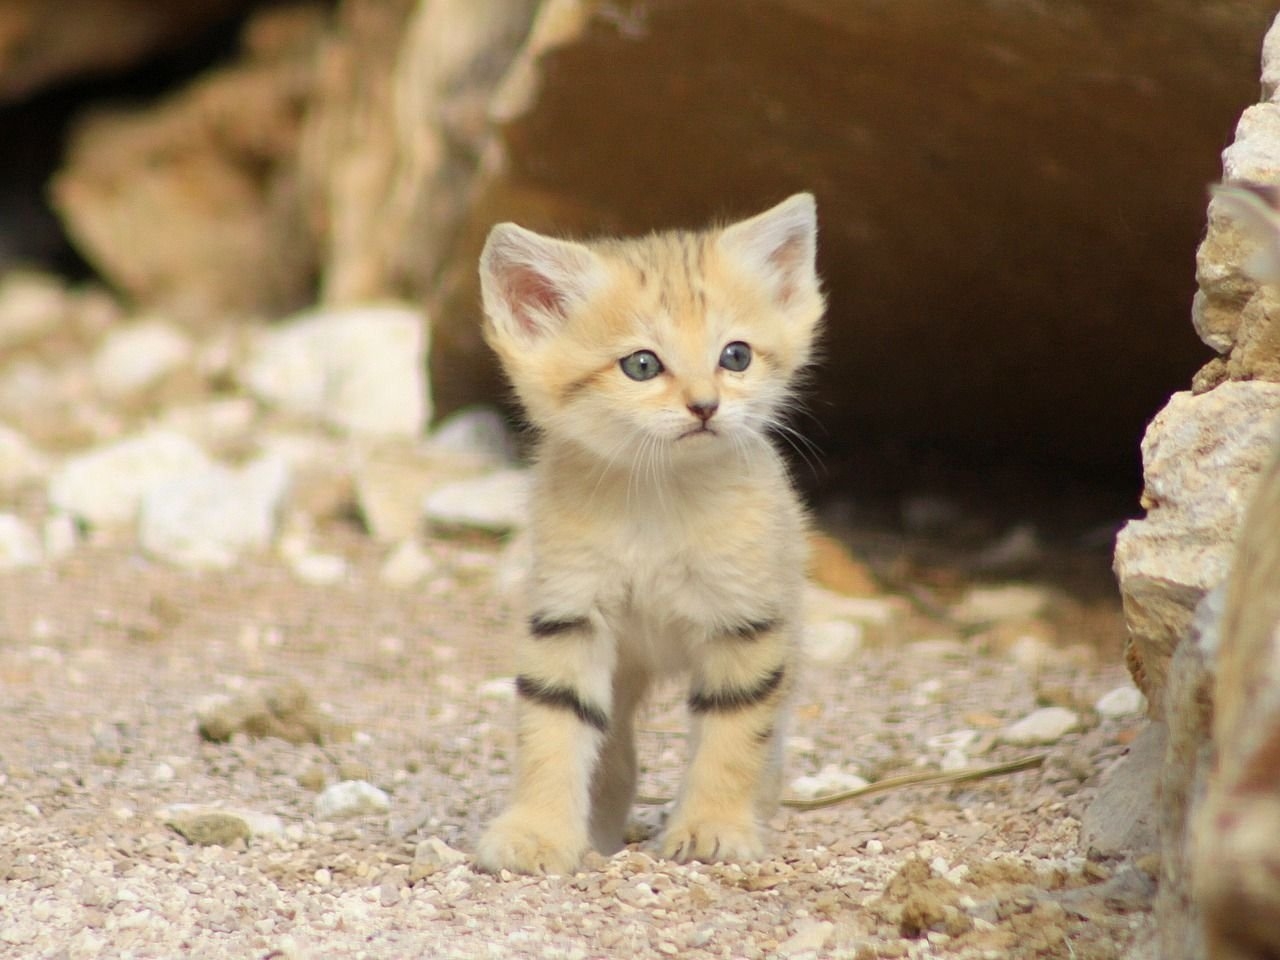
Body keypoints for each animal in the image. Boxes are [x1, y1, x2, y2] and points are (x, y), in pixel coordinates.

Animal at [476, 192, 824, 875]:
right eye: (642, 365)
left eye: (736, 356)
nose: (706, 405)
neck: (657, 499)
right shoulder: (568, 611)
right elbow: (553, 724)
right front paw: (538, 832)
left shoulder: (746, 620)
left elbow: (733, 735)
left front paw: (714, 825)